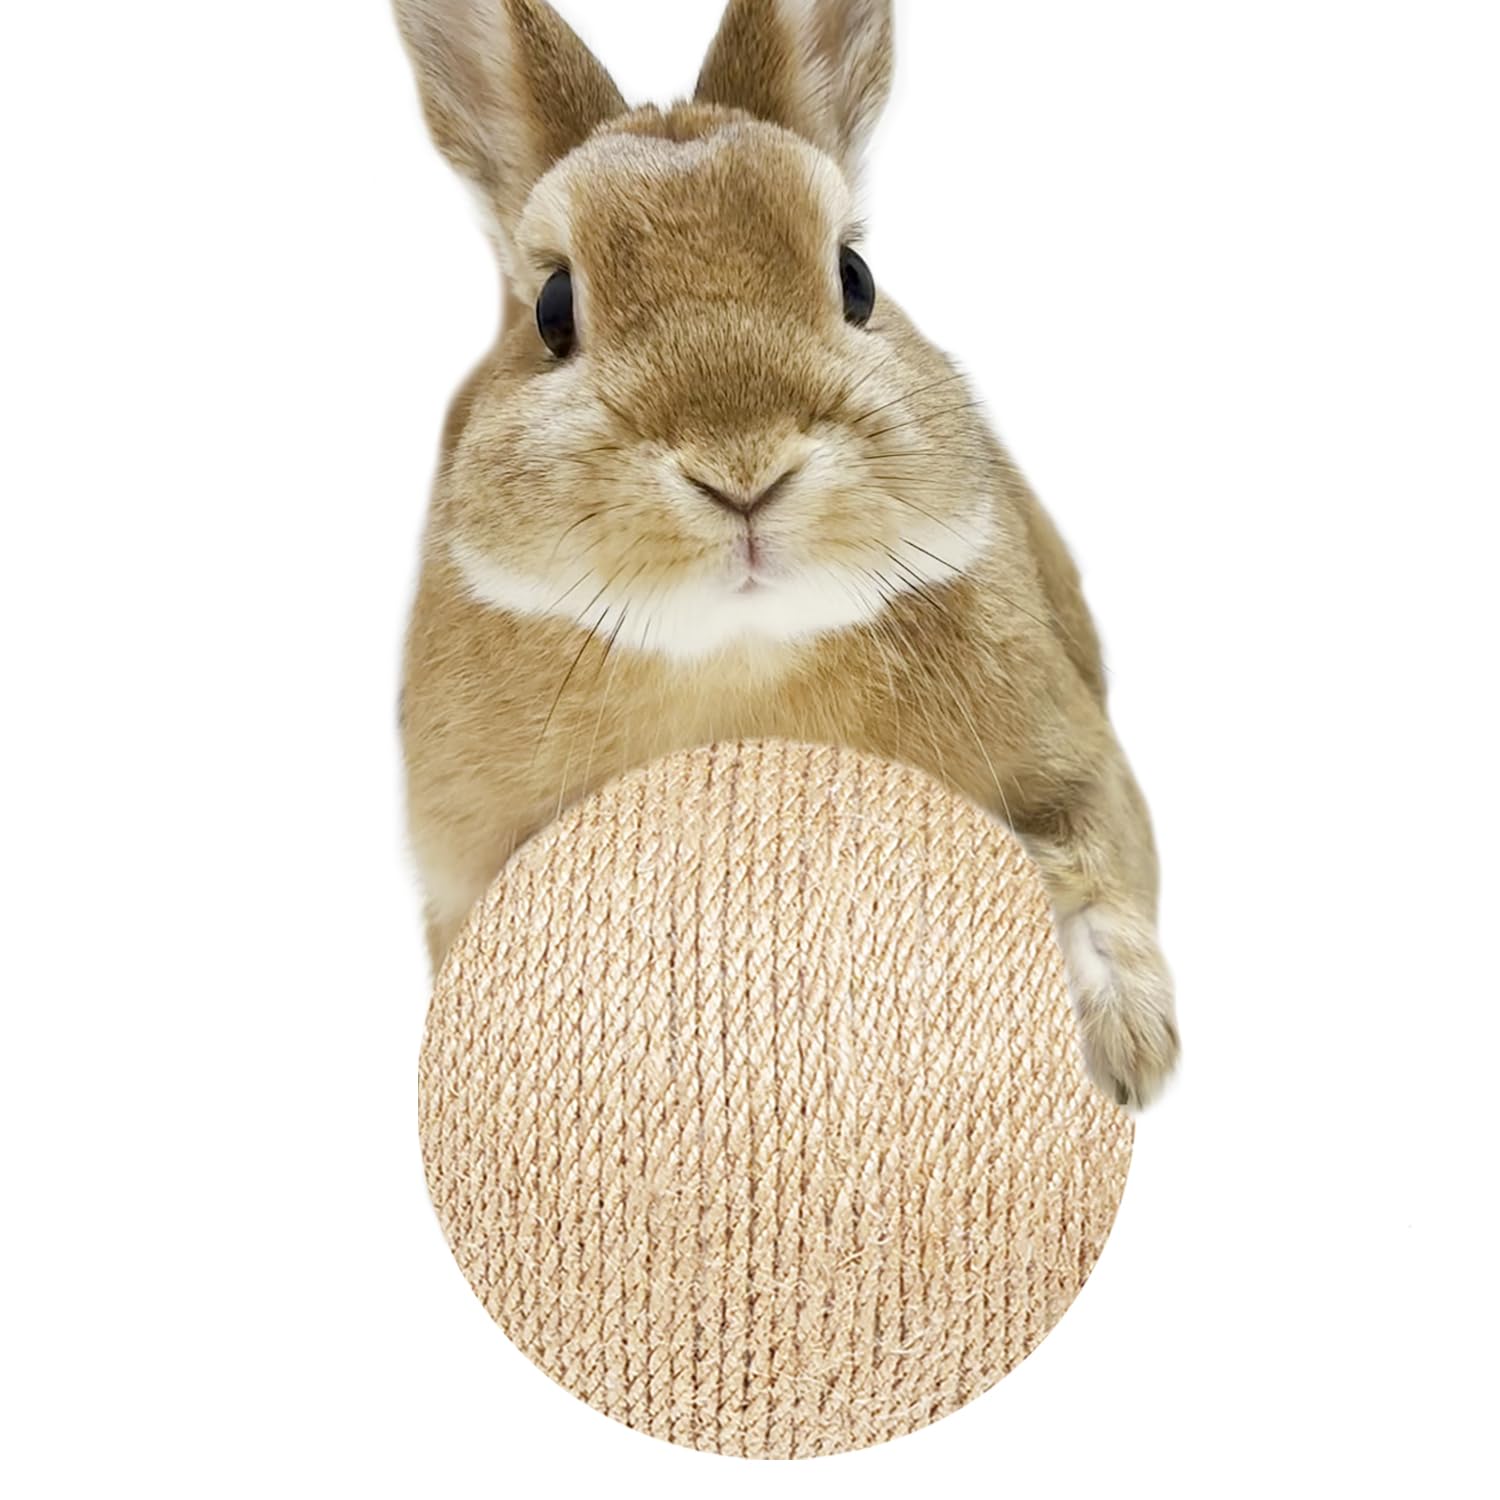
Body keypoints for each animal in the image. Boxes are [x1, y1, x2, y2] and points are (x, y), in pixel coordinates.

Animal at [393, 0, 1180, 1107]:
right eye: (553, 310)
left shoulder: (1077, 764)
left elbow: (1097, 880)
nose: (743, 469)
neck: (741, 655)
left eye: (856, 280)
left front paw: (1125, 1057)